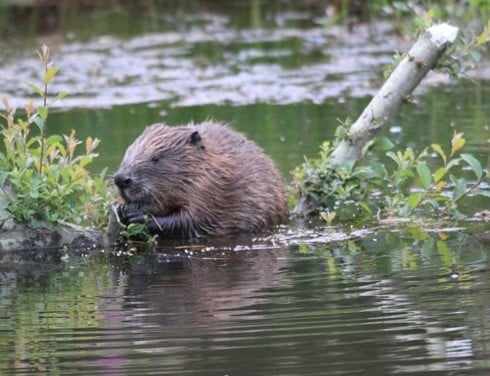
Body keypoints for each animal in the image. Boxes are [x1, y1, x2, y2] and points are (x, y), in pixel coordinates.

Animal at [113, 121, 290, 238]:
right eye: (128, 153)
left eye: (155, 158)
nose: (120, 179)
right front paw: (120, 208)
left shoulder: (208, 190)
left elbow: (190, 219)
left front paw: (137, 217)